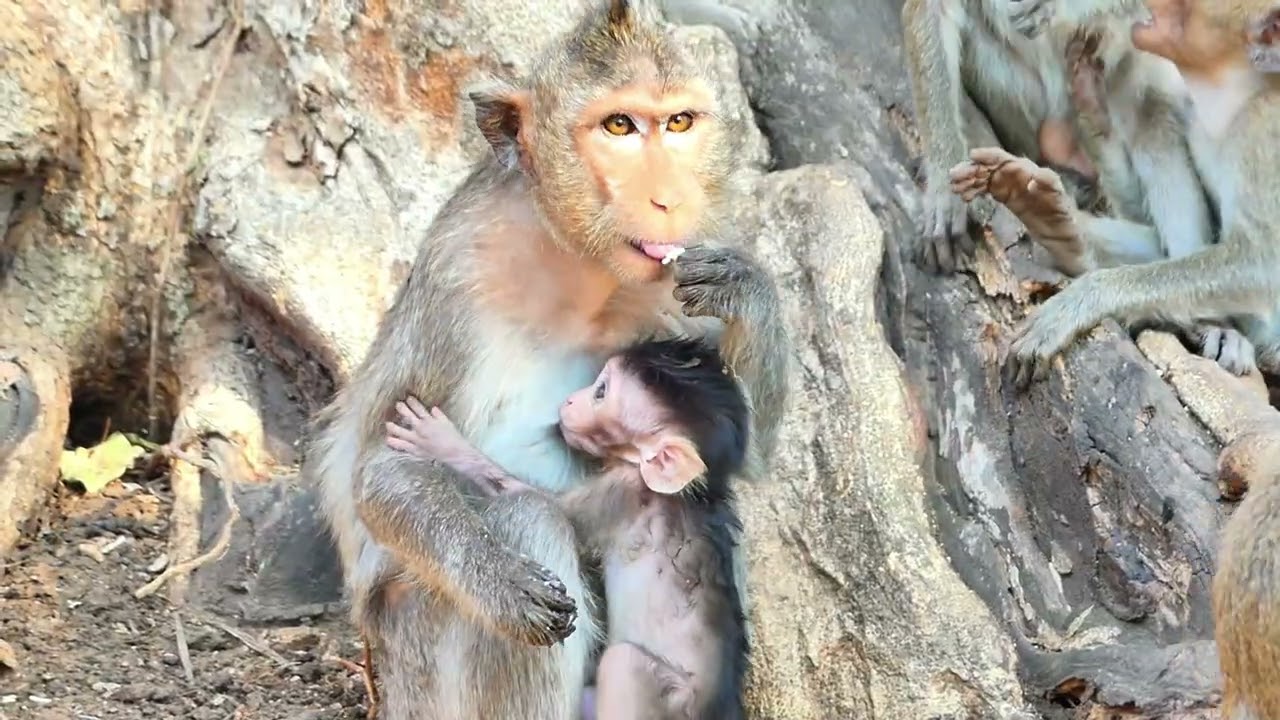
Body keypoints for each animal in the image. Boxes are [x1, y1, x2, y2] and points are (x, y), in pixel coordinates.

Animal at [385, 336, 751, 720]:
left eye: (601, 391)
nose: (572, 399)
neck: (691, 495)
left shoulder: (623, 492)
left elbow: (548, 505)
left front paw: (441, 442)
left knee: (622, 662)